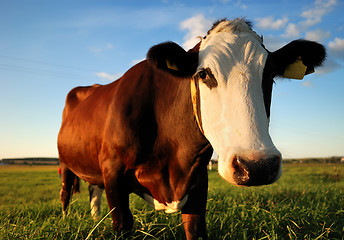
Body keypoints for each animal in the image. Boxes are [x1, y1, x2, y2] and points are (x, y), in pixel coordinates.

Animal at [58, 17, 326, 239]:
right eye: (204, 74)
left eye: (269, 76)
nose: (257, 166)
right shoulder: (113, 172)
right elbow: (122, 222)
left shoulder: (197, 179)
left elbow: (195, 229)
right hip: (65, 164)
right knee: (65, 194)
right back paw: (65, 218)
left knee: (93, 190)